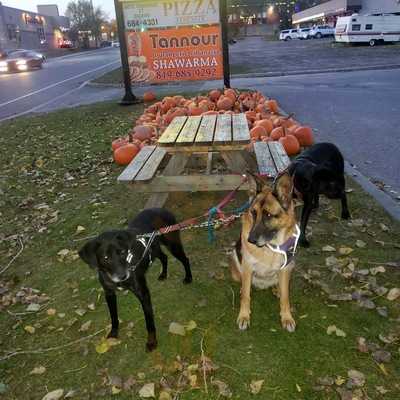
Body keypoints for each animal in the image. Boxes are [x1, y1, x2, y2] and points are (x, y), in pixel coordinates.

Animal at [79, 208, 191, 352]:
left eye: (122, 252)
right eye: (105, 258)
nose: (122, 276)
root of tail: (162, 209)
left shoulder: (143, 294)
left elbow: (149, 322)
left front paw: (151, 341)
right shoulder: (109, 293)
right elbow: (113, 316)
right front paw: (113, 333)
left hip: (172, 243)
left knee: (185, 259)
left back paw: (188, 277)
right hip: (154, 249)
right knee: (164, 257)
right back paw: (163, 274)